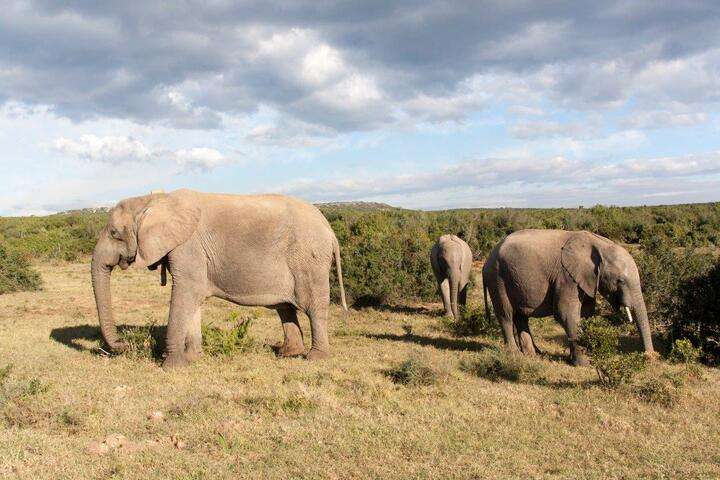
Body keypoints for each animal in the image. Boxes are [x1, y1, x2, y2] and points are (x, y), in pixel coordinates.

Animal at [91, 189, 347, 368]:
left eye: (114, 233)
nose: (122, 345)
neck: (153, 200)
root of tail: (329, 229)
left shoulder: (189, 247)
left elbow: (186, 292)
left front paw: (172, 365)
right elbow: (192, 300)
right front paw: (193, 359)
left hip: (309, 260)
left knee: (313, 307)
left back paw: (315, 358)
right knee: (284, 308)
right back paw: (288, 354)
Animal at [482, 229, 655, 365]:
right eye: (620, 281)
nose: (650, 357)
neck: (599, 245)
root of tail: (488, 259)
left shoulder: (587, 278)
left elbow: (586, 313)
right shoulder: (566, 277)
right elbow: (565, 313)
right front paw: (584, 364)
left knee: (521, 316)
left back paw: (534, 354)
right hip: (497, 278)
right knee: (506, 315)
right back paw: (515, 355)